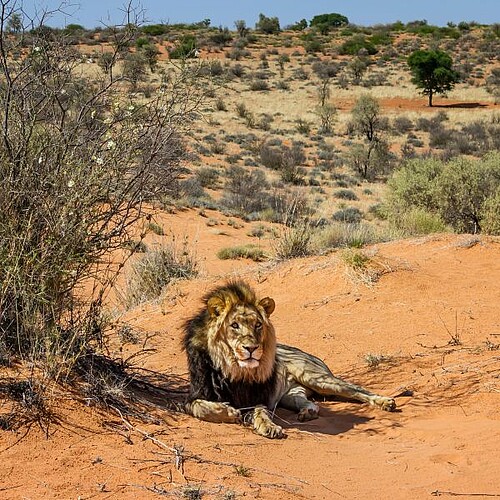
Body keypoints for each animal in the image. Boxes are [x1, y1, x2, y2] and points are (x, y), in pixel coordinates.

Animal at [182, 282, 396, 438]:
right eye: (234, 325)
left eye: (258, 325)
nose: (251, 348)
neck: (233, 368)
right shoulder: (195, 394)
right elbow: (197, 406)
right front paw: (227, 412)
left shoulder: (258, 397)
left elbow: (261, 412)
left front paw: (268, 426)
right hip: (291, 395)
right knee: (311, 403)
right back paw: (307, 413)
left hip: (317, 378)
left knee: (358, 390)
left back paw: (385, 402)